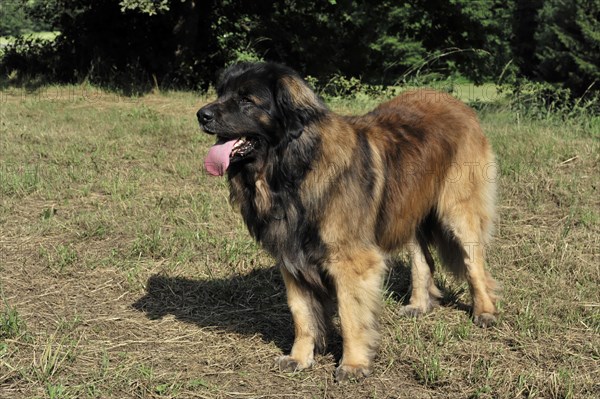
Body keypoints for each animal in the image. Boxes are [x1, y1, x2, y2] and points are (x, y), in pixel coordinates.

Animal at [197, 61, 496, 382]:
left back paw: (484, 311)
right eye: (221, 93)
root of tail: (458, 104)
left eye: (246, 100)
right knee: (422, 258)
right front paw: (299, 358)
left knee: (474, 263)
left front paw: (353, 365)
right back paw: (418, 304)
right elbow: (301, 314)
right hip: (406, 209)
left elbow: (351, 314)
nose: (201, 115)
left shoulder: (350, 260)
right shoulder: (291, 258)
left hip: (458, 212)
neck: (294, 169)